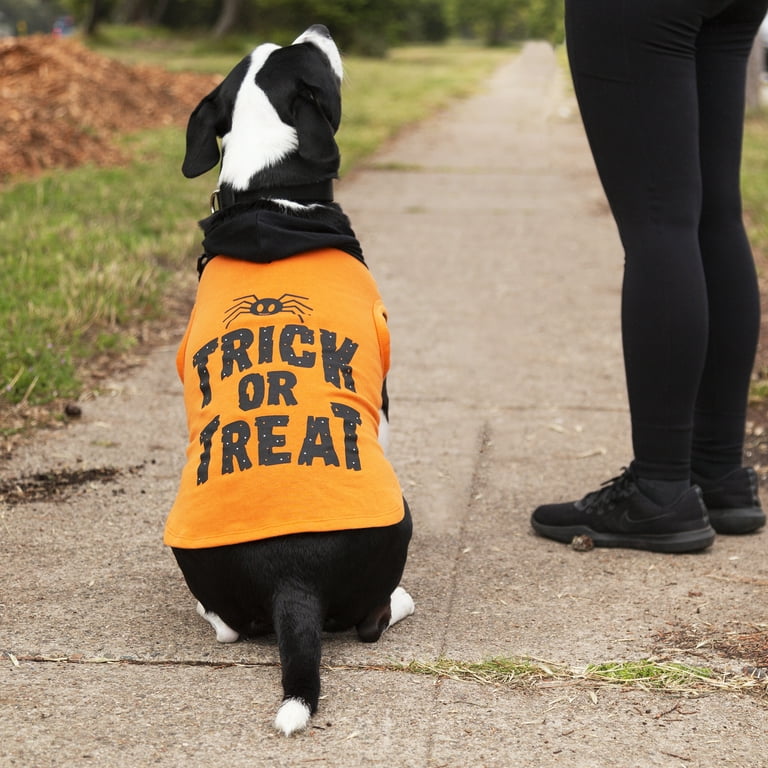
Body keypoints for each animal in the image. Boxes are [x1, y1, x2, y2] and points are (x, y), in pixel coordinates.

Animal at [164, 24, 414, 736]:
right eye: (312, 57)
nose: (323, 28)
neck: (270, 194)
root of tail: (291, 581)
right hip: (395, 528)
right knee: (370, 621)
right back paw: (399, 600)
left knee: (226, 624)